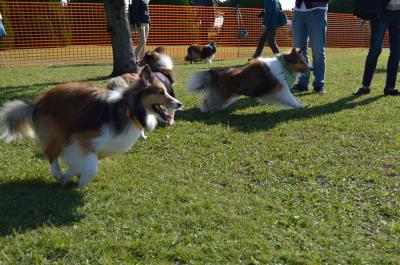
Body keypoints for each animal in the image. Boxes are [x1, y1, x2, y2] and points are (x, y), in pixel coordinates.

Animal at [0, 64, 182, 187]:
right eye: (160, 92)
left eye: (166, 91)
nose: (179, 104)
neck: (129, 109)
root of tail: (38, 102)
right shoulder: (82, 139)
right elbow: (92, 168)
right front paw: (78, 182)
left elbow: (78, 164)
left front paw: (69, 177)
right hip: (58, 131)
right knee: (51, 153)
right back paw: (57, 173)